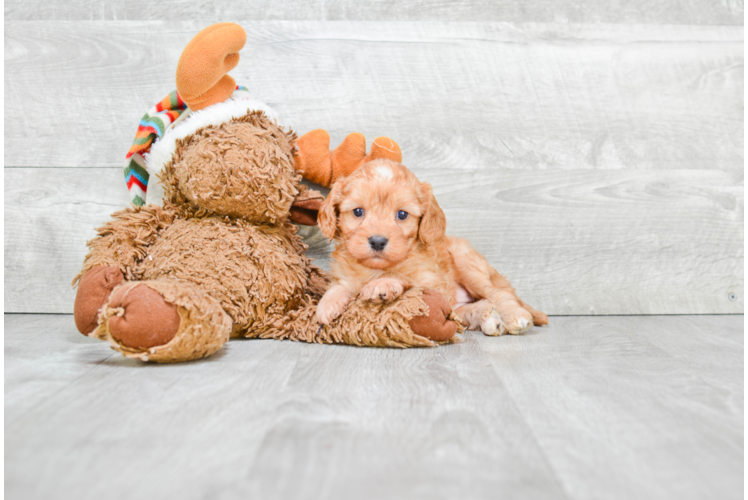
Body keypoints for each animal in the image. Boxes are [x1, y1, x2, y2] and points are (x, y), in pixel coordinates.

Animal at [312, 158, 548, 334]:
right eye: (358, 211)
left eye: (402, 214)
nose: (378, 241)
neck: (374, 268)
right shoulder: (345, 274)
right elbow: (340, 285)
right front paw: (327, 304)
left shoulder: (432, 281)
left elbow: (401, 275)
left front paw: (383, 284)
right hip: (457, 303)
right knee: (467, 309)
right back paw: (489, 318)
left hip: (468, 264)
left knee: (500, 294)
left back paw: (515, 316)